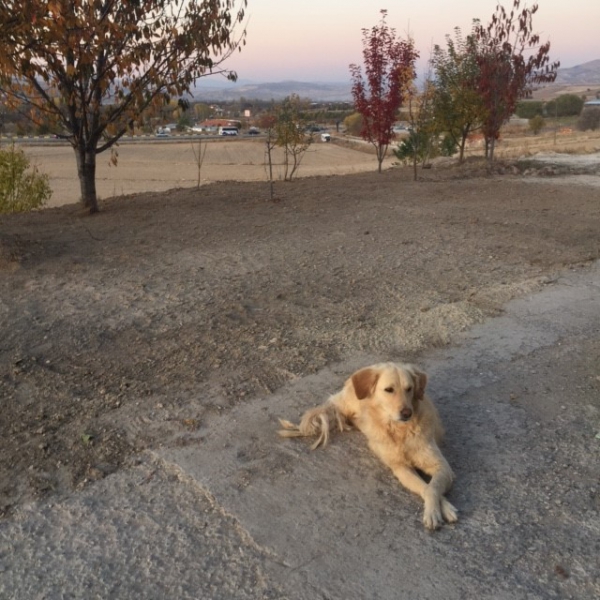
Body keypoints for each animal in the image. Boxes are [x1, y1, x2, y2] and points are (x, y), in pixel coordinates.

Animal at [278, 360, 458, 528]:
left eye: (409, 388)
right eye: (389, 390)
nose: (407, 413)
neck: (400, 431)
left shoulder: (442, 466)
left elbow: (432, 487)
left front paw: (439, 509)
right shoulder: (400, 467)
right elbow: (424, 487)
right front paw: (437, 510)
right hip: (346, 405)